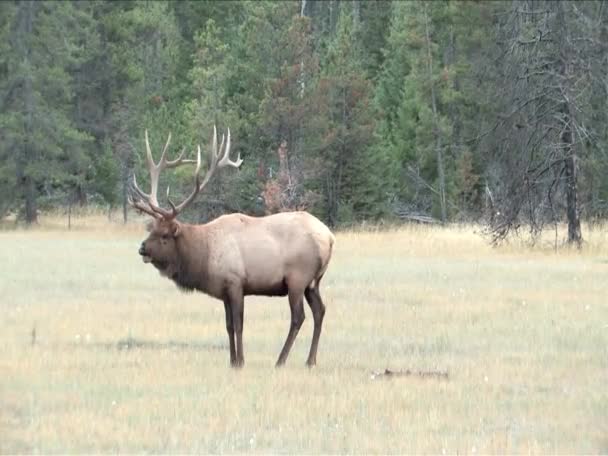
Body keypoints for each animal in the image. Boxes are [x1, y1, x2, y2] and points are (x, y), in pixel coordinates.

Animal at [130, 127, 334, 366]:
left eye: (164, 235)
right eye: (150, 229)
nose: (142, 248)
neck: (203, 257)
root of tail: (330, 238)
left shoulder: (235, 283)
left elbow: (238, 325)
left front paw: (241, 361)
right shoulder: (224, 291)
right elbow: (228, 326)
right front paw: (232, 361)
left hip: (298, 279)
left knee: (298, 317)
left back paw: (280, 360)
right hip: (313, 282)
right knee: (320, 310)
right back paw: (310, 361)